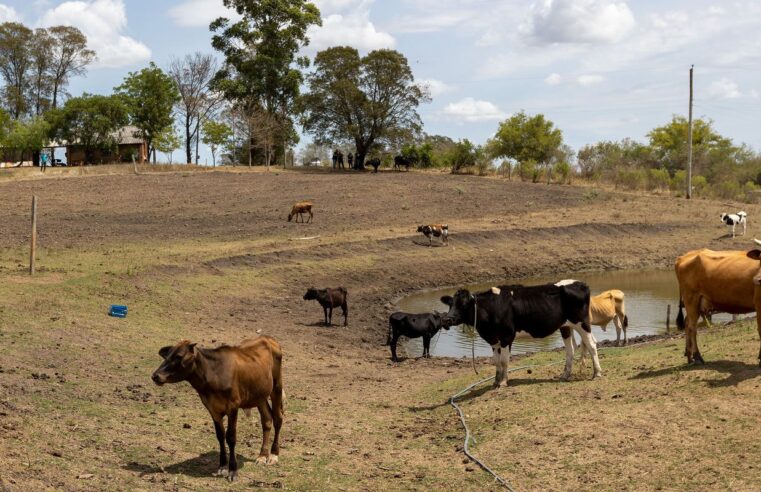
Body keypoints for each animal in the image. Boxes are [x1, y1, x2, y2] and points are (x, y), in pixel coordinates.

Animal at [151, 336, 284, 482]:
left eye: (179, 356)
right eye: (167, 355)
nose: (156, 375)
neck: (213, 374)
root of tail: (267, 338)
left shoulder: (233, 406)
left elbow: (231, 437)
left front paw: (233, 471)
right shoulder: (212, 408)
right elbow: (220, 435)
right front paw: (222, 466)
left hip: (277, 386)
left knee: (278, 418)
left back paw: (273, 455)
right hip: (259, 394)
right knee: (267, 419)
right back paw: (262, 455)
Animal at [440, 278, 600, 386]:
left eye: (464, 304)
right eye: (450, 304)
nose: (447, 319)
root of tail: (580, 283)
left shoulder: (506, 336)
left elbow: (504, 361)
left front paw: (503, 382)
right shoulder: (493, 339)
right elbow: (496, 361)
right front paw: (496, 381)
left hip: (582, 323)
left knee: (592, 344)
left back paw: (597, 373)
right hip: (565, 326)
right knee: (570, 349)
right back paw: (565, 375)